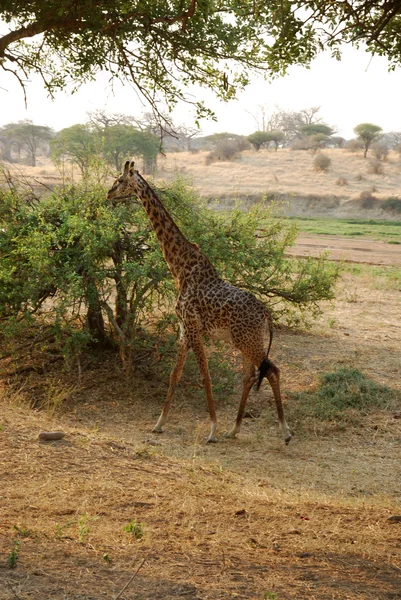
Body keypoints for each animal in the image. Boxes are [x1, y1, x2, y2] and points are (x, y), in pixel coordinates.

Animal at [106, 162, 290, 442]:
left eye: (120, 180)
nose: (108, 194)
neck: (179, 267)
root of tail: (267, 315)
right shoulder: (184, 330)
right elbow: (175, 375)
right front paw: (159, 423)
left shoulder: (193, 328)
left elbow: (205, 377)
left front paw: (212, 429)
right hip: (245, 341)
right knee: (250, 376)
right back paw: (234, 429)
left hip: (247, 341)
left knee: (271, 371)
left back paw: (284, 431)